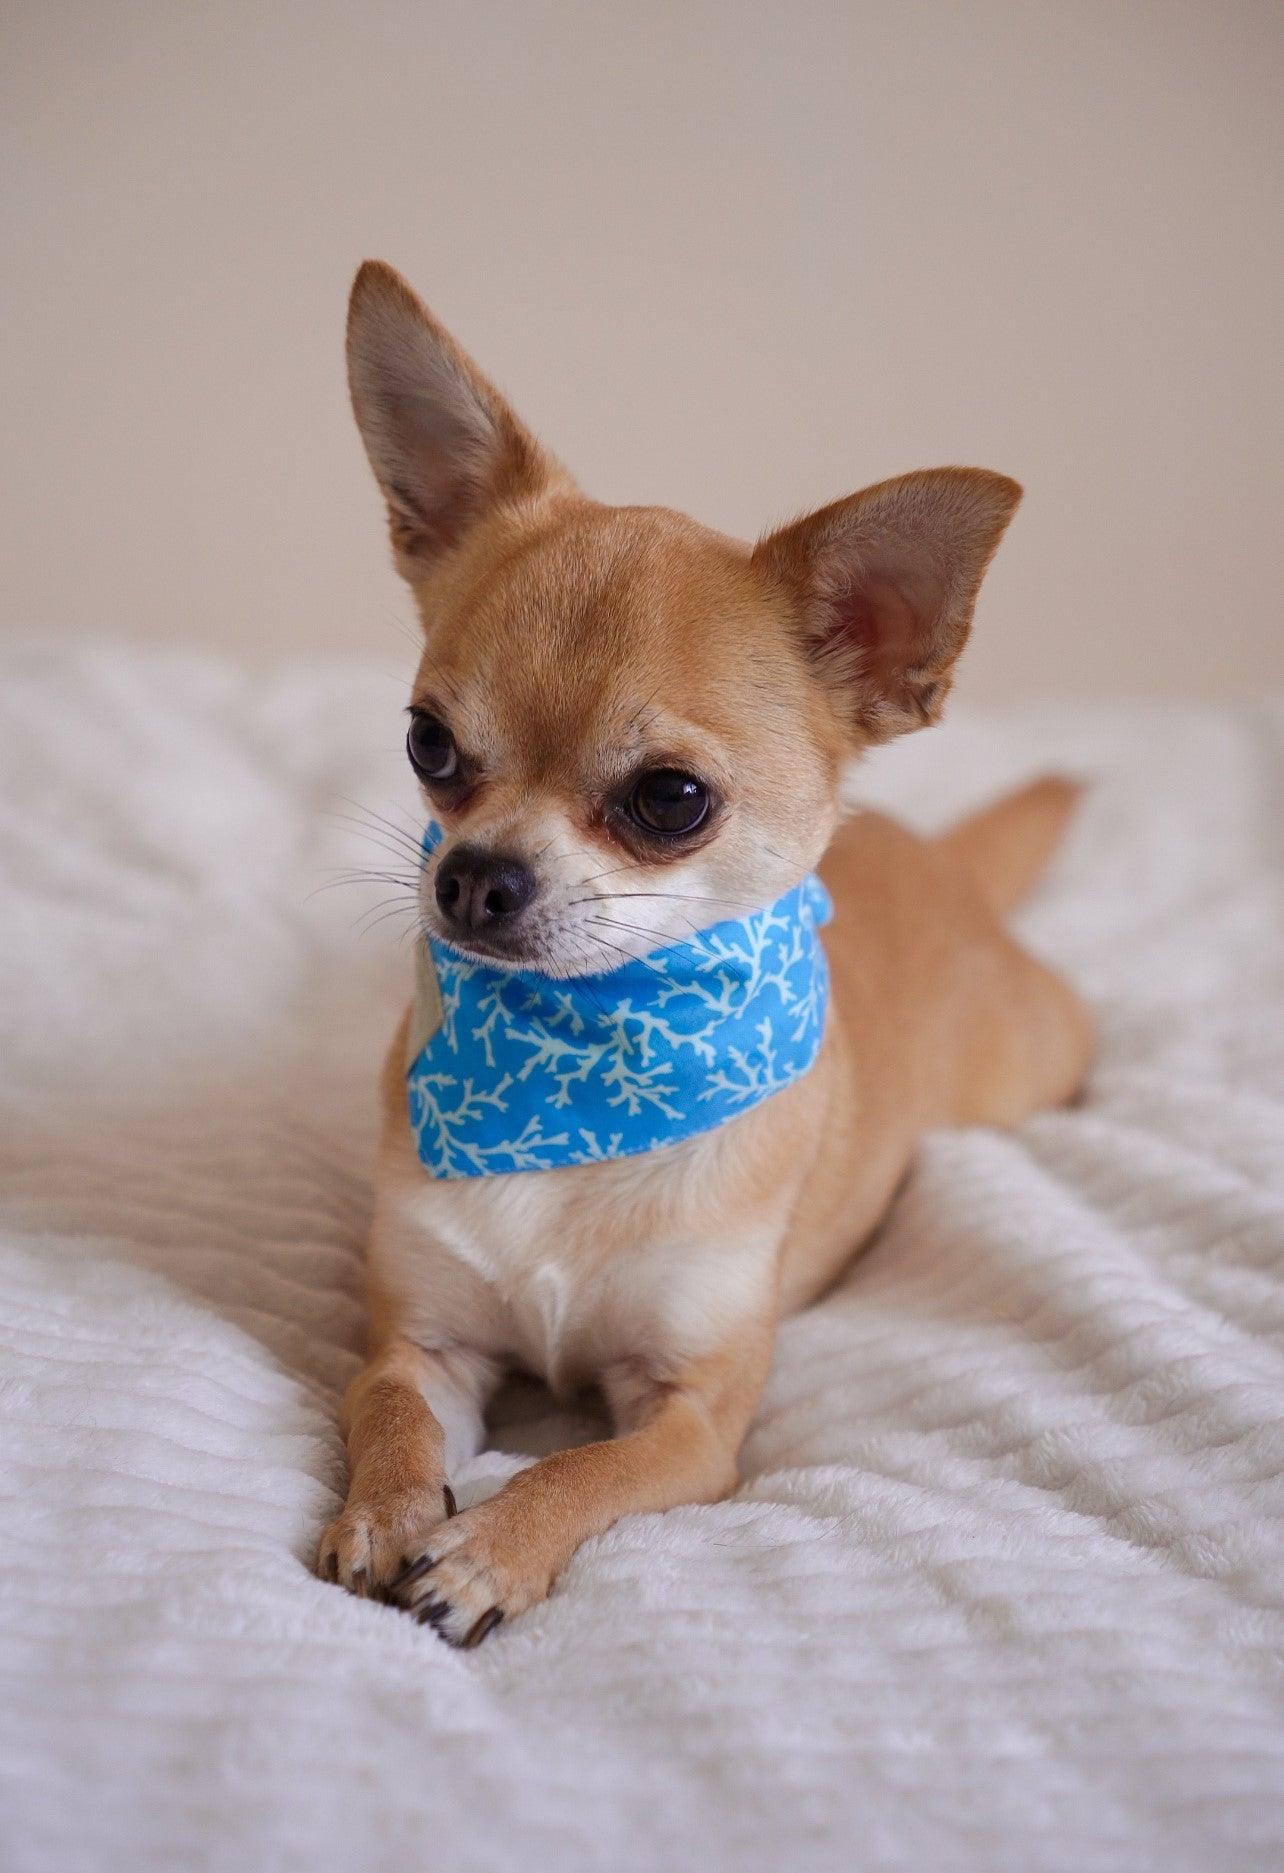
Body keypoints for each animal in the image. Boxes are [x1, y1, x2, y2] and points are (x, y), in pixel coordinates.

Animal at [316, 260, 1093, 1640]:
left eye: (670, 800)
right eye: (428, 743)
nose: (471, 875)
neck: (580, 1055)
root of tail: (946, 862)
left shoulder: (694, 1422)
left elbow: (582, 1467)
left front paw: (489, 1550)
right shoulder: (425, 1345)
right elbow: (391, 1410)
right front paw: (387, 1513)